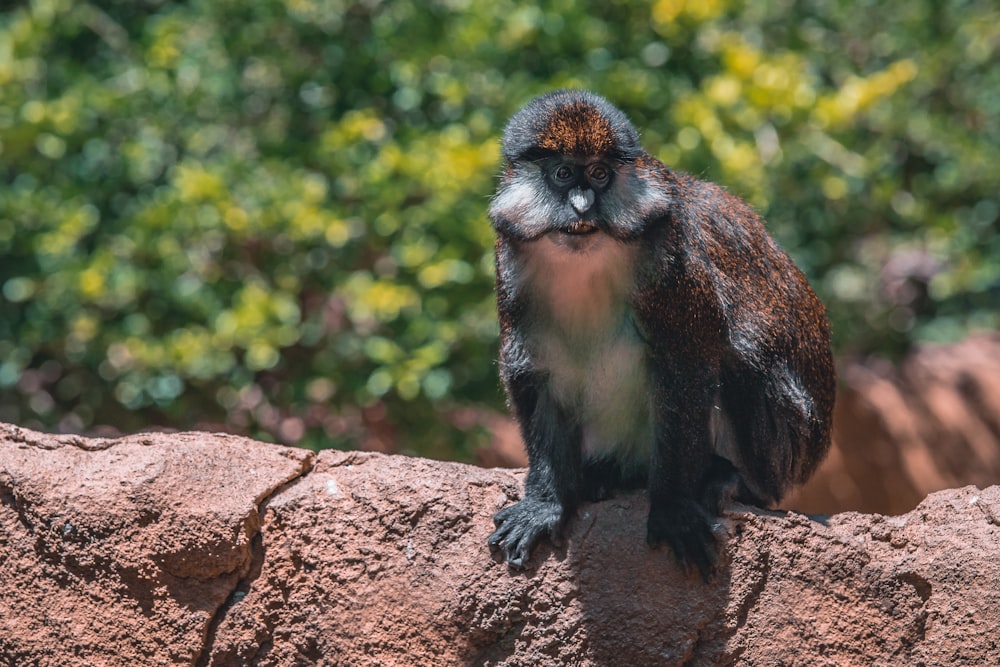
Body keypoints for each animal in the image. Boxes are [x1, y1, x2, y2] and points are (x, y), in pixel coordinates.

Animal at [484, 90, 836, 580]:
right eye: (562, 173)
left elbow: (687, 365)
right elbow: (537, 377)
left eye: (599, 174)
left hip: (784, 450)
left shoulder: (672, 270)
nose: (582, 206)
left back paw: (728, 479)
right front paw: (544, 504)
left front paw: (672, 508)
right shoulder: (511, 265)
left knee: (746, 353)